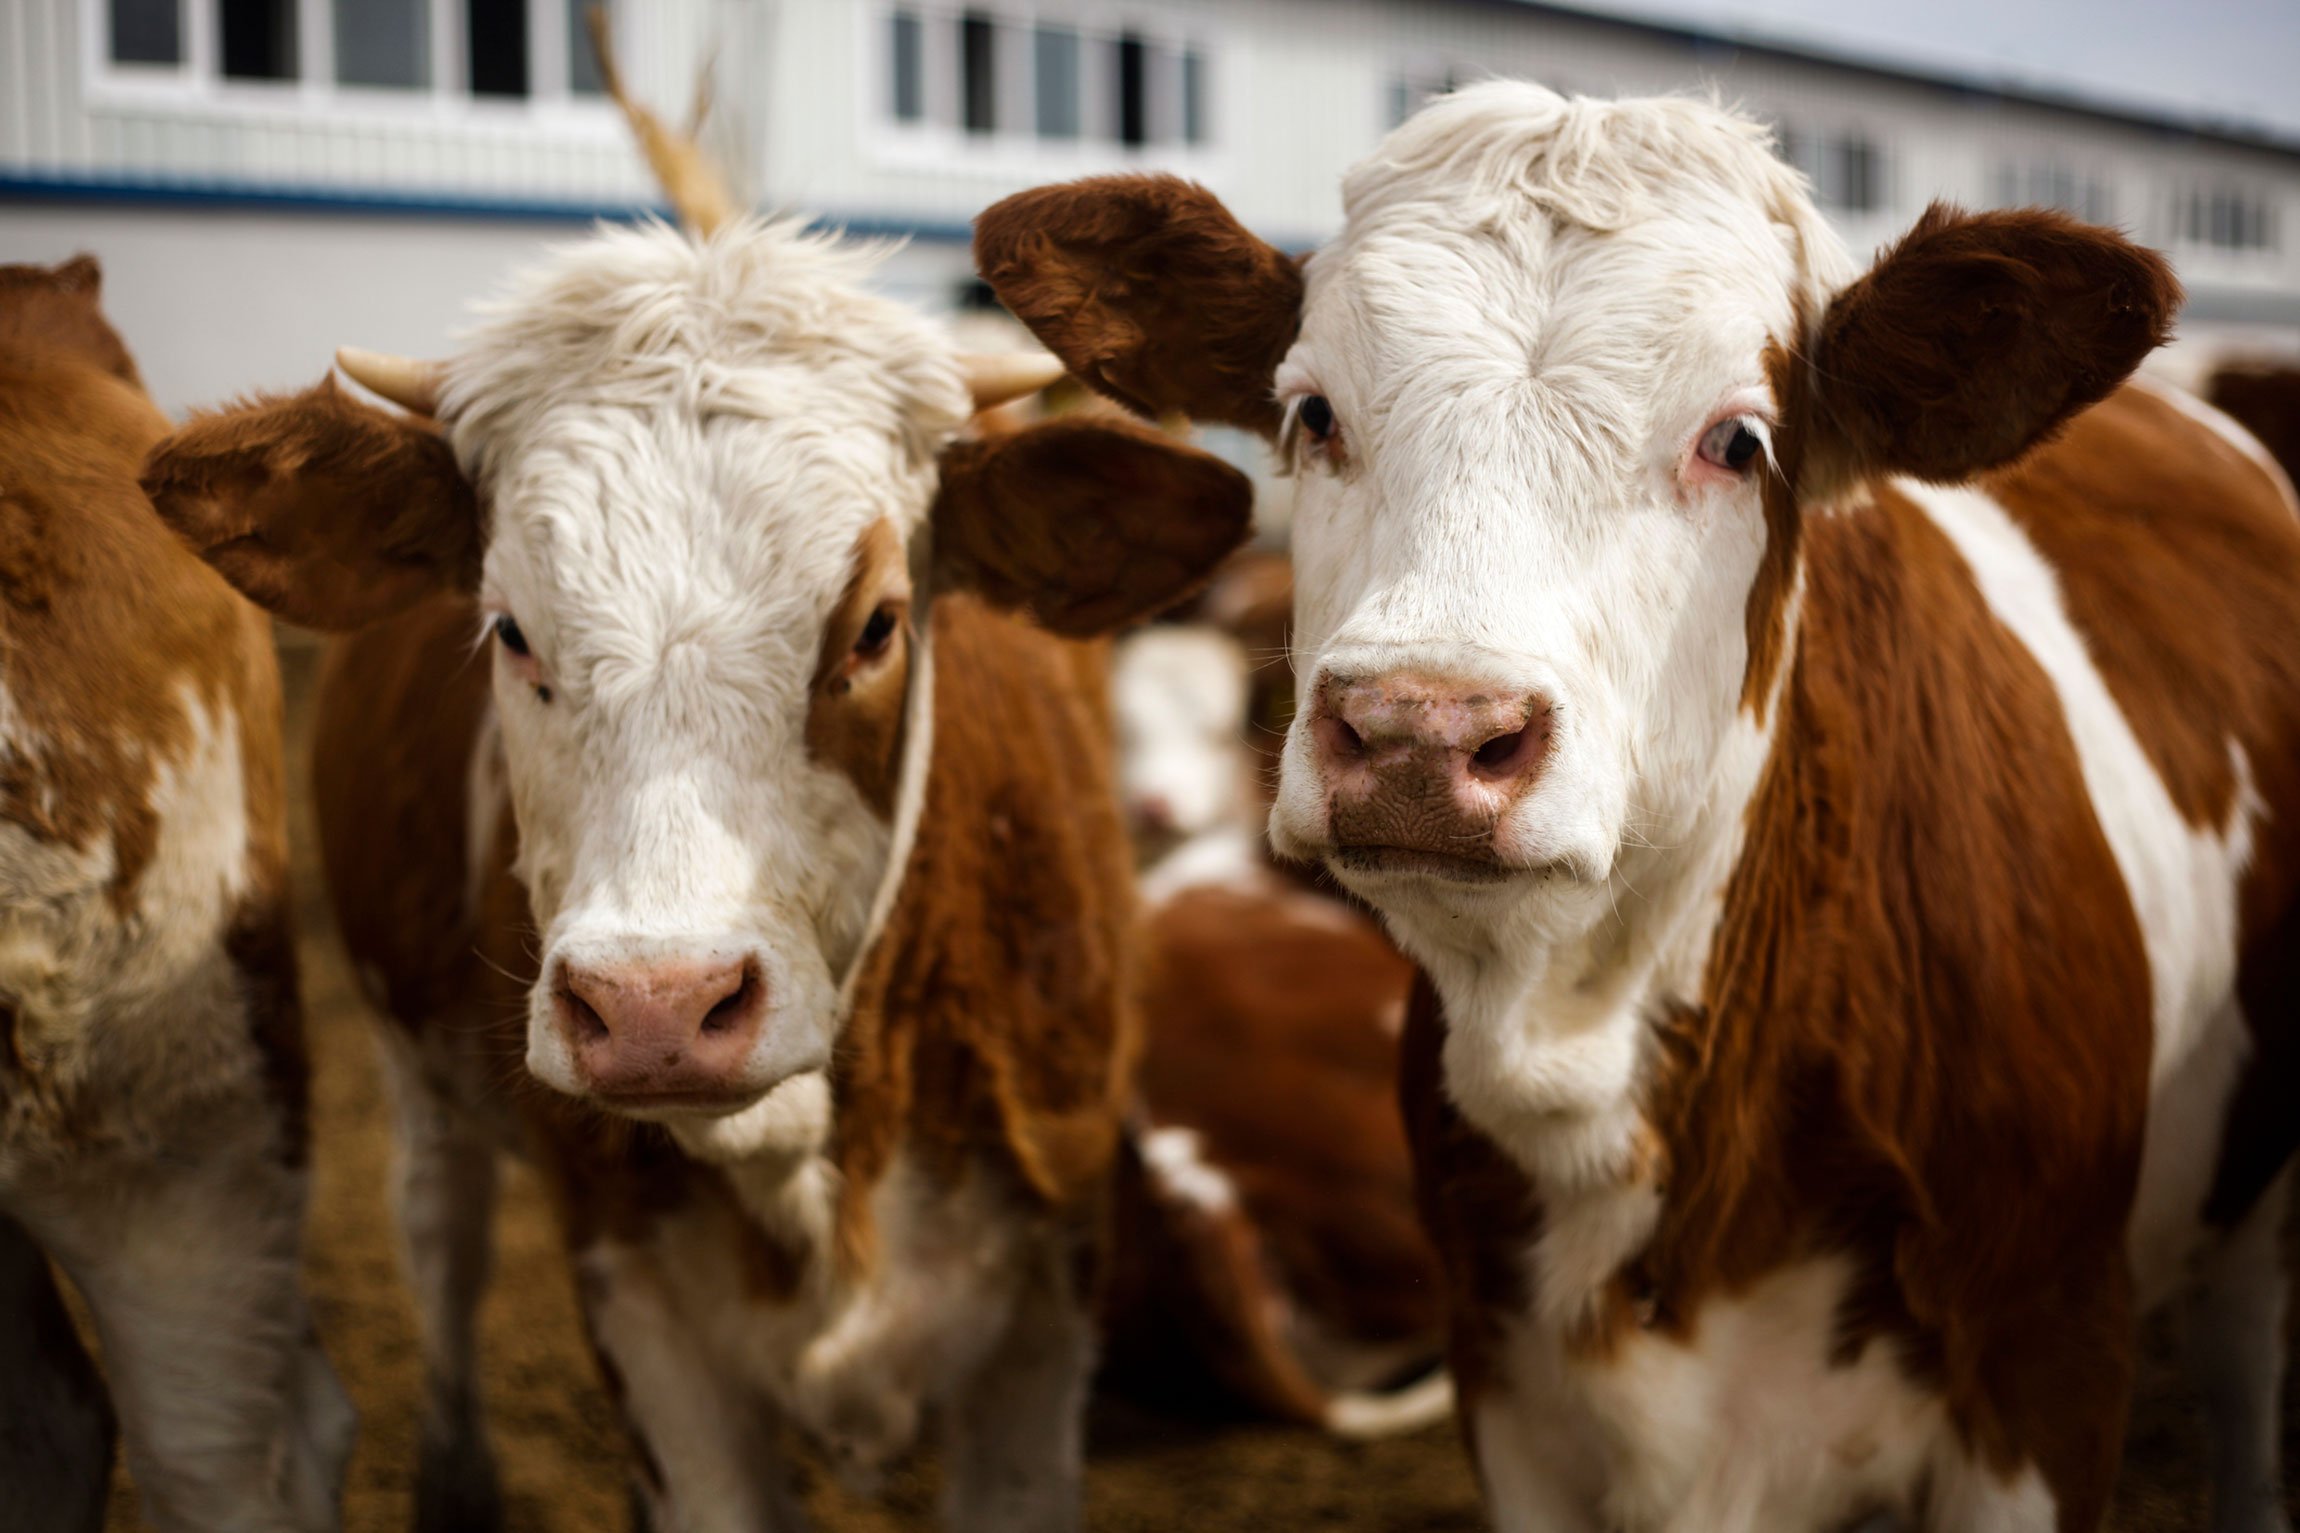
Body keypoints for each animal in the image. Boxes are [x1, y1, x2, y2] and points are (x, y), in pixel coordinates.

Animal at [979, 81, 2300, 1533]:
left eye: (1737, 439)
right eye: (1312, 413)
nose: (1422, 732)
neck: (1587, 1055)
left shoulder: (2045, 1363)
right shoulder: (1510, 1396)